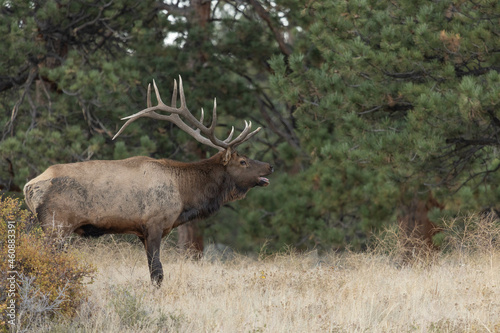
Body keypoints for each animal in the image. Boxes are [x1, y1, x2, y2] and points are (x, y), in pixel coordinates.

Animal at [23, 77, 274, 286]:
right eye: (242, 161)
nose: (270, 166)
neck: (185, 198)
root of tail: (29, 187)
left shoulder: (141, 232)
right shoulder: (154, 223)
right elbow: (157, 273)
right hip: (56, 226)